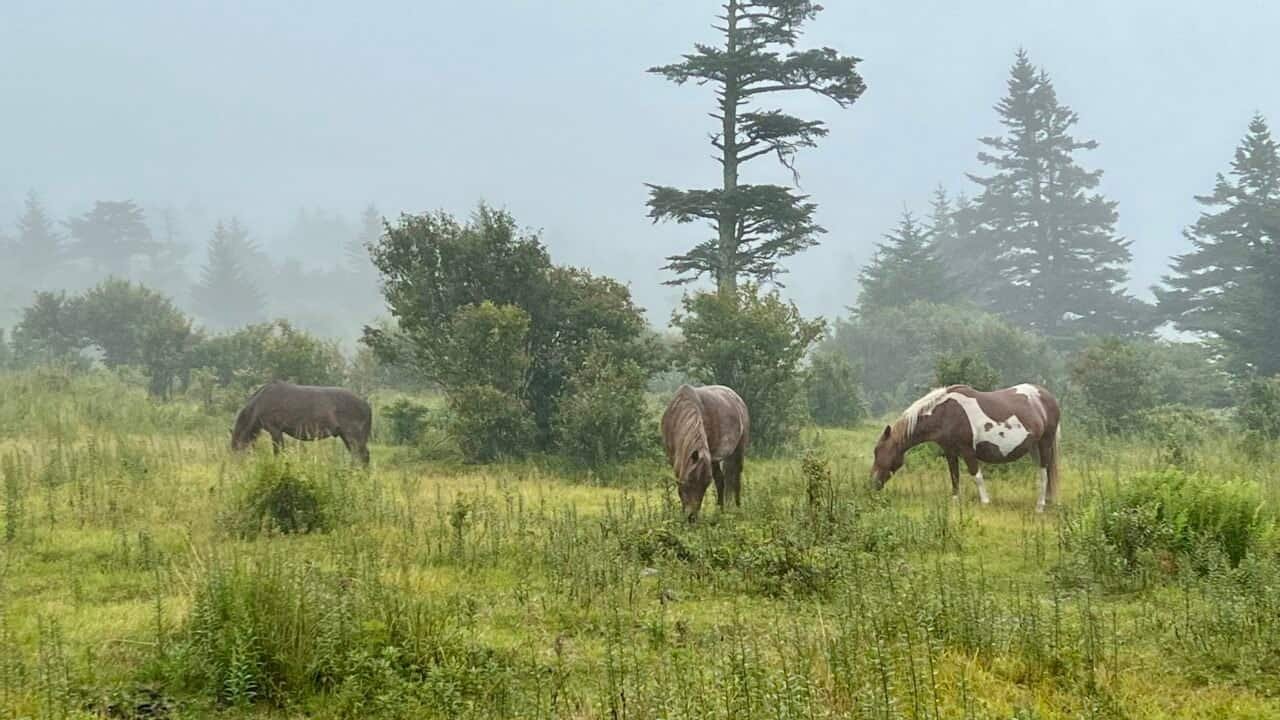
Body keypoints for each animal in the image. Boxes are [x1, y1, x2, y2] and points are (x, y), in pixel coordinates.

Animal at [231, 381, 373, 465]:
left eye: (236, 448)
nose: (237, 468)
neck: (259, 402)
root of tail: (366, 405)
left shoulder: (275, 430)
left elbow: (279, 452)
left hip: (354, 437)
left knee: (362, 456)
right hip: (346, 437)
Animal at [661, 384, 750, 522]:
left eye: (705, 486)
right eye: (689, 481)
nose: (692, 517)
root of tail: (737, 398)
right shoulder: (674, 459)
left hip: (738, 451)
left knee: (735, 479)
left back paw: (737, 508)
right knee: (721, 480)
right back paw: (720, 511)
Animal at [869, 384, 1061, 511]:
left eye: (878, 451)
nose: (872, 483)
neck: (945, 413)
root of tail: (1047, 398)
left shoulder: (968, 451)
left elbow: (976, 476)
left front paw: (985, 502)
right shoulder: (950, 452)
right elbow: (954, 476)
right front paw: (955, 502)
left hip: (1045, 443)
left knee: (1043, 473)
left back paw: (1040, 506)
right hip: (1034, 447)